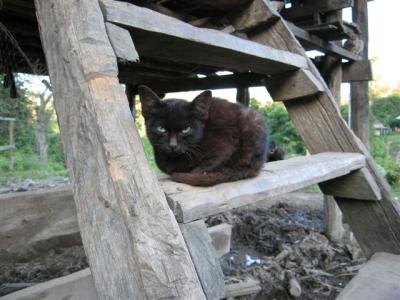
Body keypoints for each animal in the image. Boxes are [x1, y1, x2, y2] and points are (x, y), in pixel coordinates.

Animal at [138, 84, 268, 186]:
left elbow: (206, 166)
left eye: (186, 129)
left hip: (252, 124)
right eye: (161, 129)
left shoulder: (225, 145)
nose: (172, 145)